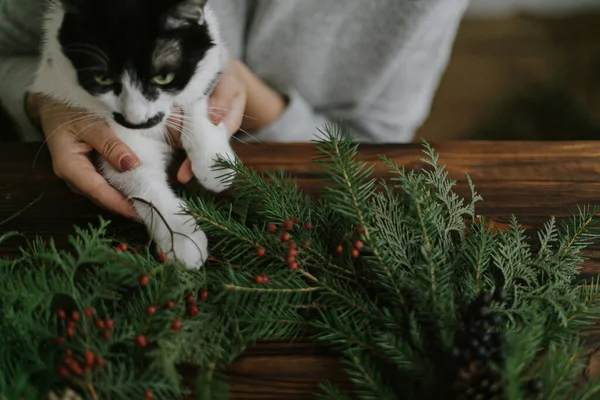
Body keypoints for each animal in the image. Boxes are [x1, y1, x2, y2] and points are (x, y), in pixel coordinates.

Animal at [30, 0, 236, 270]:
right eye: (102, 79)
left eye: (164, 76)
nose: (137, 119)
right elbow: (141, 178)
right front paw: (180, 236)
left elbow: (196, 93)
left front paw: (214, 161)